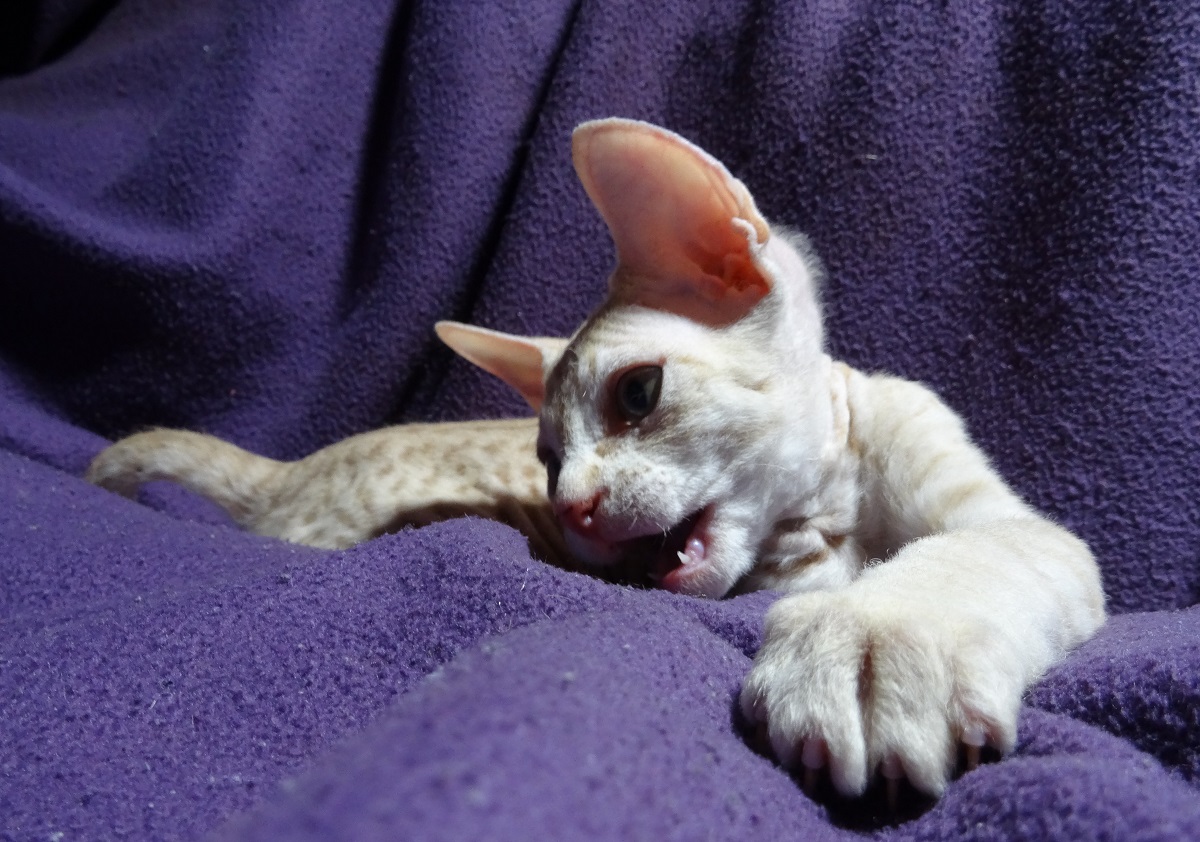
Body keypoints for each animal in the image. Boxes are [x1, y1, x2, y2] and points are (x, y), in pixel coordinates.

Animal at [87, 118, 1106, 803]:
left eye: (638, 394)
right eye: (545, 458)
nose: (571, 507)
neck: (833, 509)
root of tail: (289, 468)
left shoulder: (1008, 520)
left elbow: (971, 551)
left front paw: (882, 631)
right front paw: (861, 635)